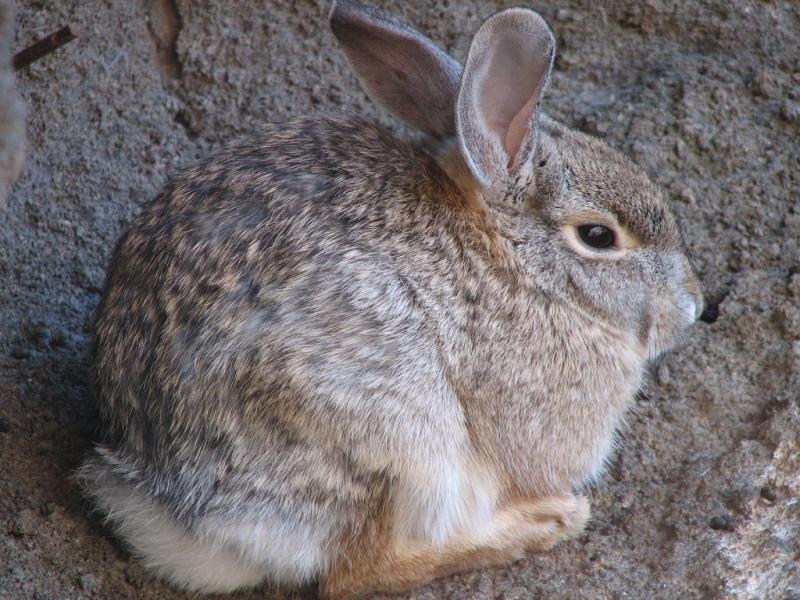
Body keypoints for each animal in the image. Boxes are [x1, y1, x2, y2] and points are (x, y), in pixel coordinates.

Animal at [78, 2, 704, 596]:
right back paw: (549, 522)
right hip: (400, 433)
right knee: (360, 570)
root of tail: (172, 506)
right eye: (598, 236)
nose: (693, 305)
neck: (514, 261)